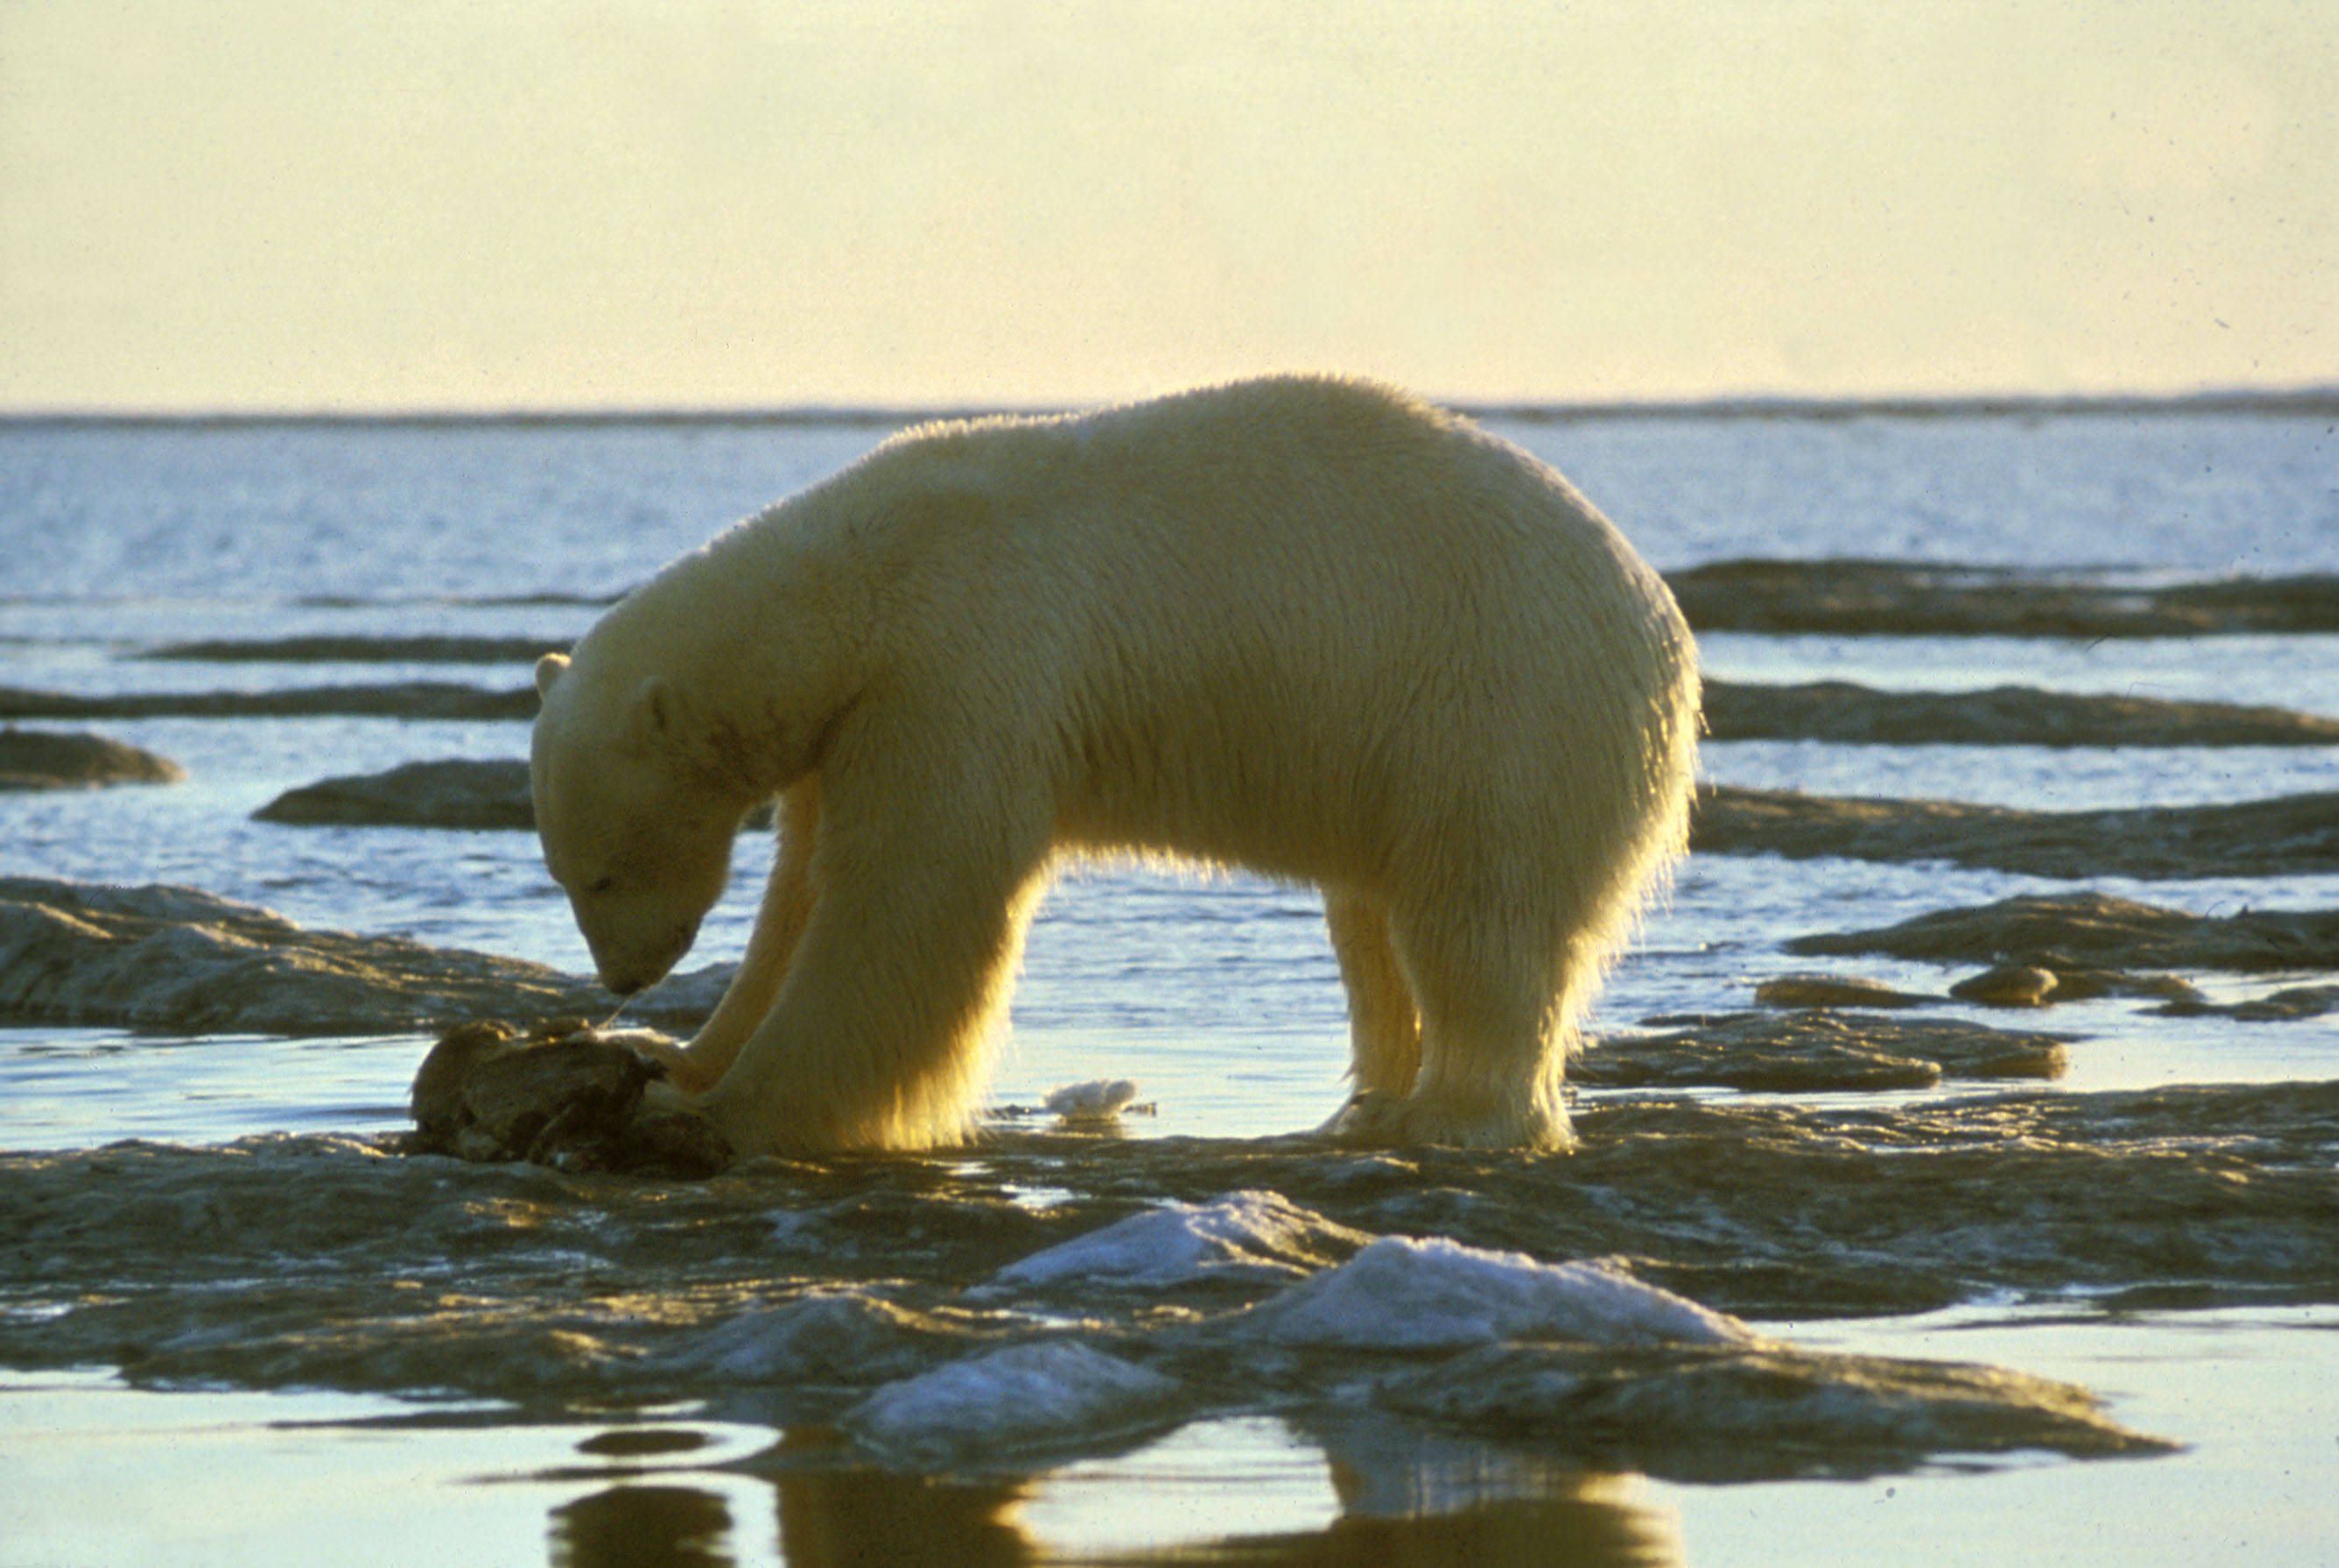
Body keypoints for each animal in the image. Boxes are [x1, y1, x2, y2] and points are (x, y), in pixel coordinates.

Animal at [529, 375, 1699, 1157]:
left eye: (600, 872)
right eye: (565, 871)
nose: (621, 979)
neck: (858, 586)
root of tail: (1663, 630)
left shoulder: (960, 662)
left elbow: (911, 900)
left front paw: (728, 1107)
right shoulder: (853, 724)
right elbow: (799, 899)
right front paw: (676, 1057)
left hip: (1497, 706)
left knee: (1476, 915)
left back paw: (1450, 1116)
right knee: (1377, 924)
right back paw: (1367, 1102)